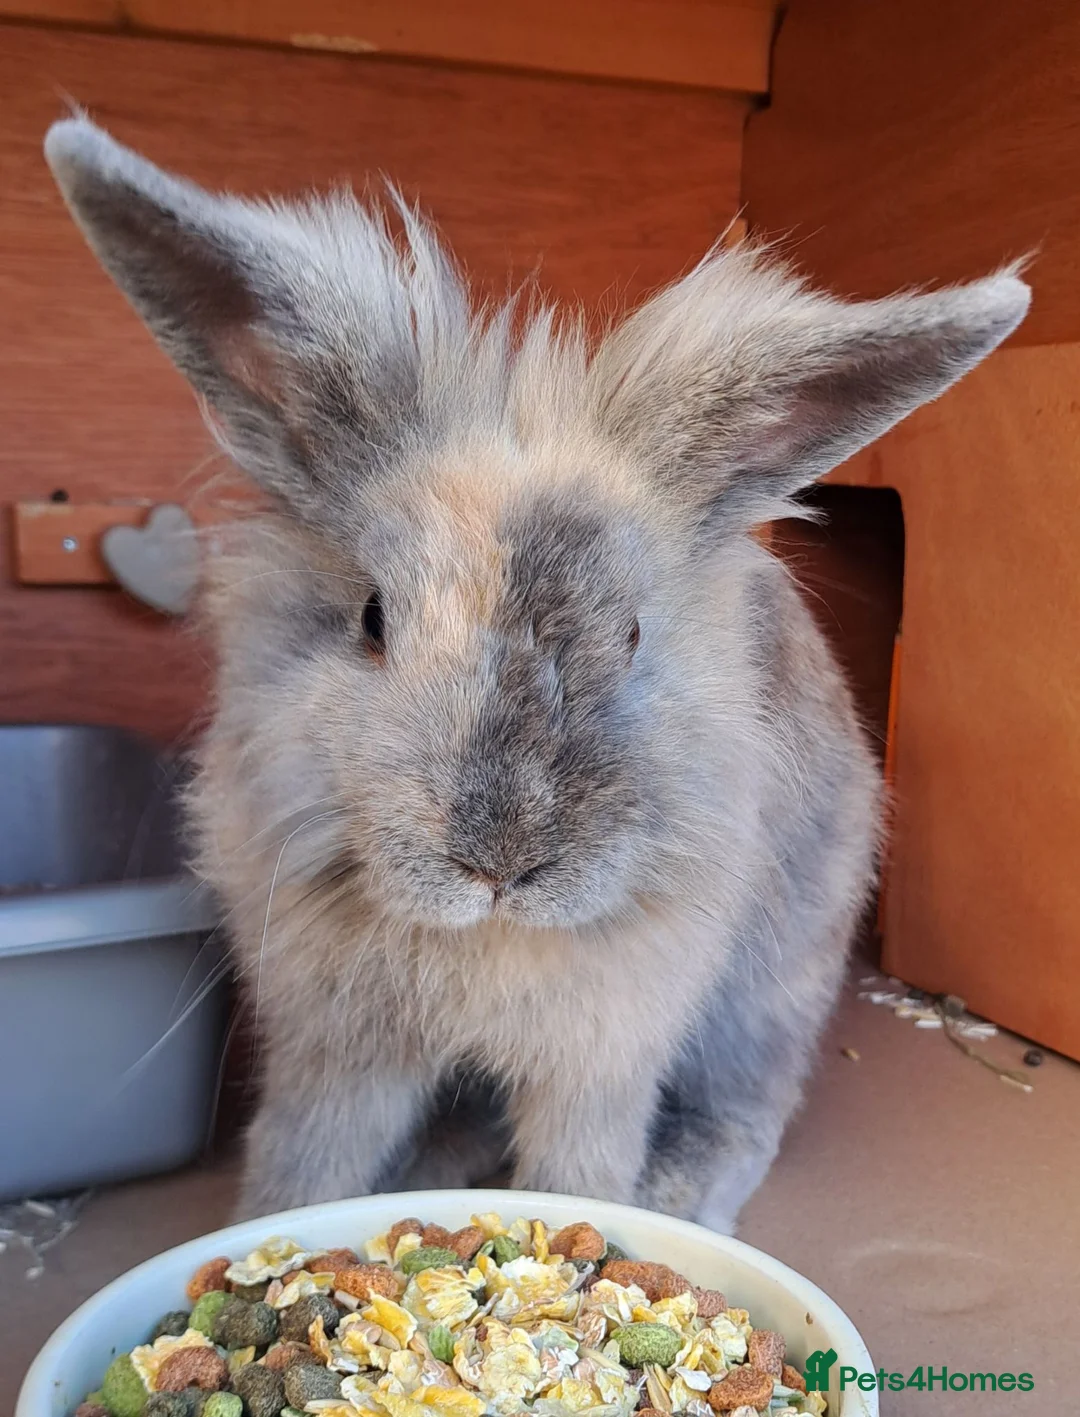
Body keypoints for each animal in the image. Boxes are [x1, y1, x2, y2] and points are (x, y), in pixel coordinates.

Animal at [44, 116, 1030, 1230]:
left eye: (635, 633)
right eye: (374, 618)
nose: (499, 862)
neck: (487, 945)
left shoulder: (601, 1057)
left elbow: (578, 1171)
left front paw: (606, 1213)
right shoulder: (336, 1053)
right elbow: (307, 1160)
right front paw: (273, 1220)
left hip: (771, 989)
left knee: (752, 1106)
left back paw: (682, 1191)